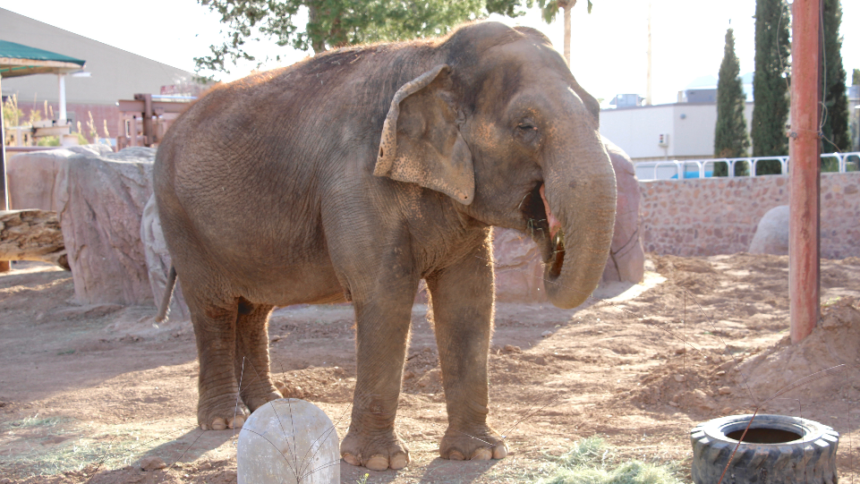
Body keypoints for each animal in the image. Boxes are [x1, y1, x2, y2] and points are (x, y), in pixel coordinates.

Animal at [151, 20, 616, 470]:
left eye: (597, 112)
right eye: (526, 126)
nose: (551, 249)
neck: (433, 56)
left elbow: (470, 297)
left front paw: (480, 454)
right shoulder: (356, 180)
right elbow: (385, 294)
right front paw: (378, 462)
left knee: (253, 311)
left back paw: (268, 405)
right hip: (180, 219)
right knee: (214, 308)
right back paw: (224, 420)